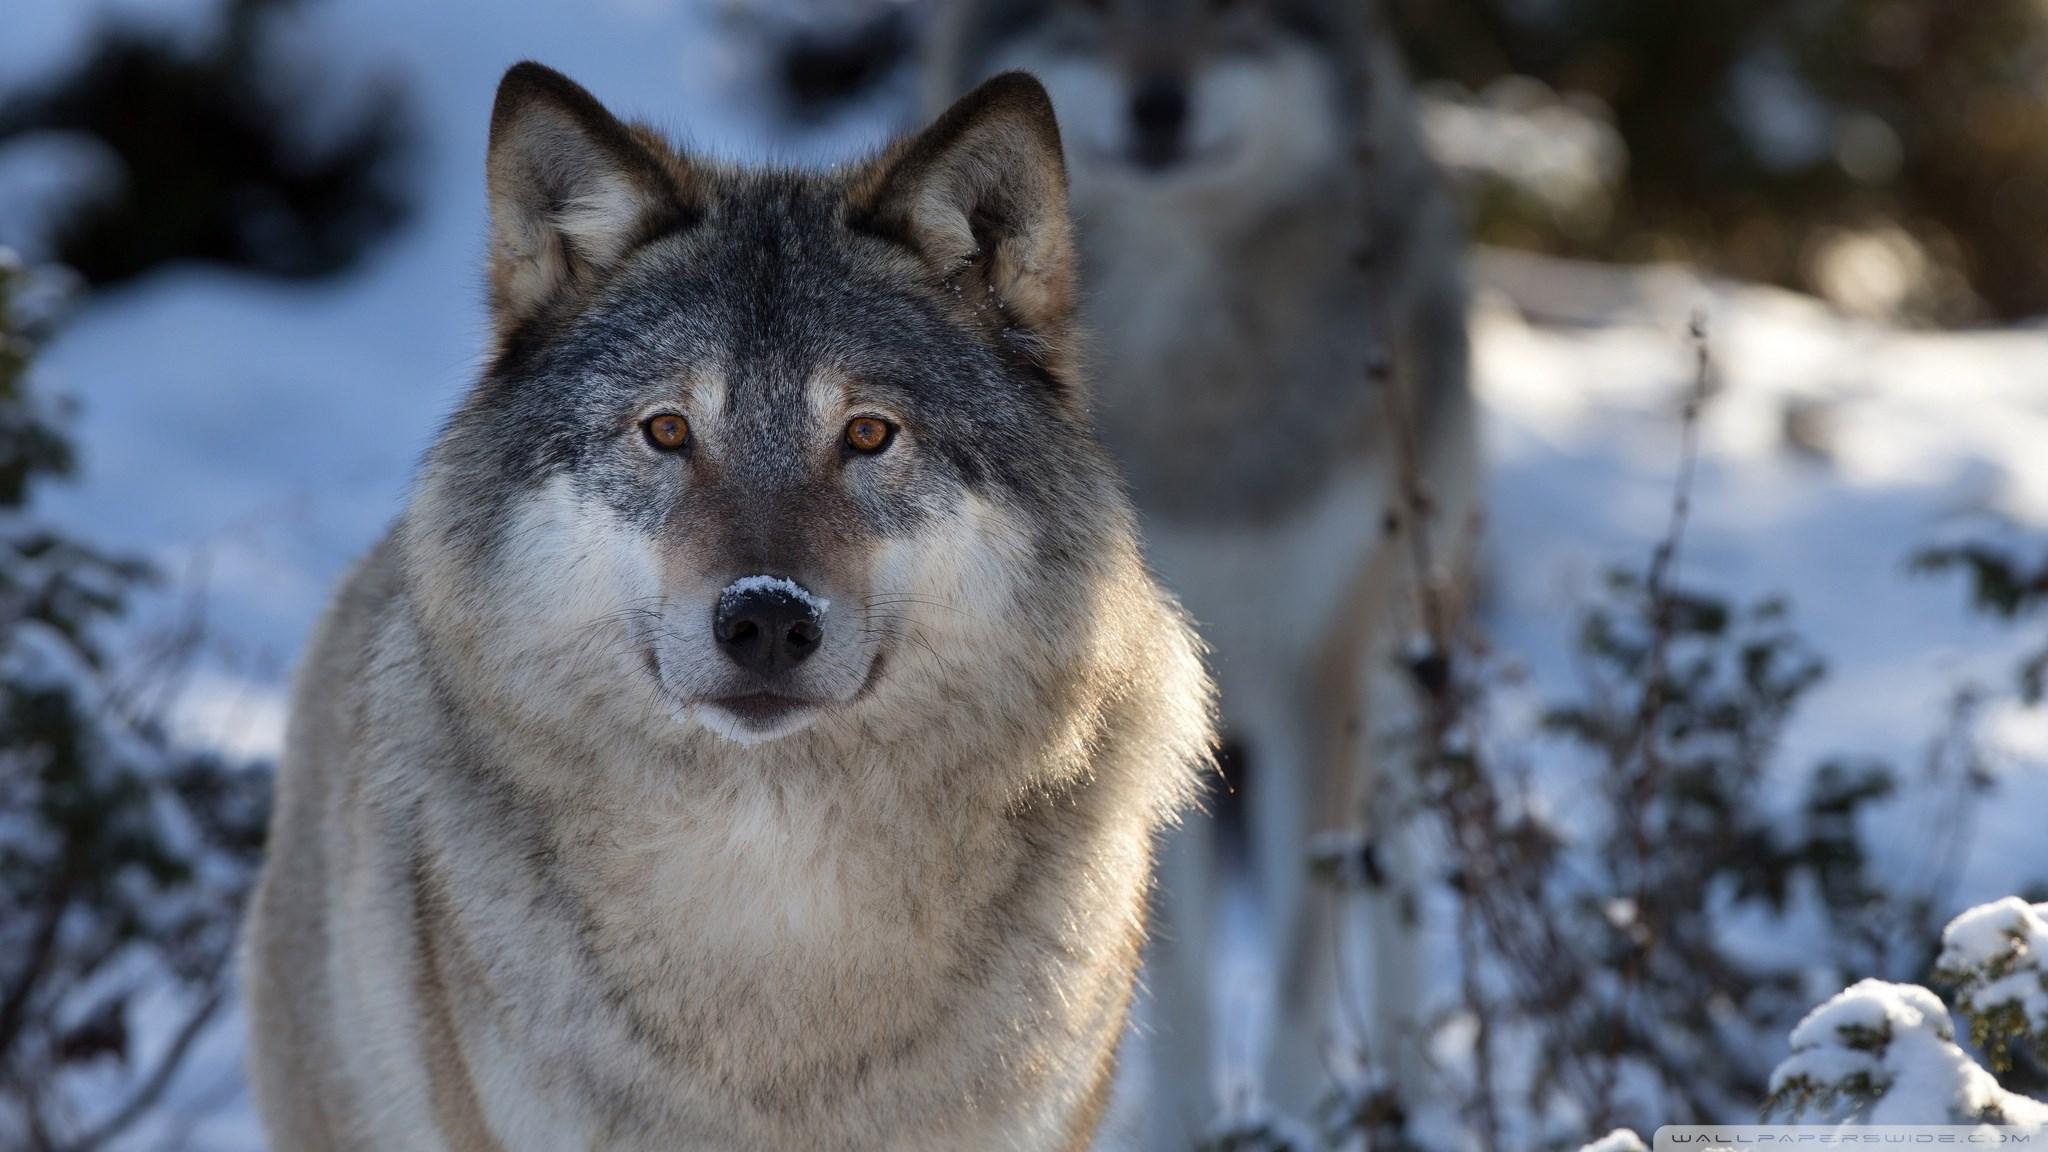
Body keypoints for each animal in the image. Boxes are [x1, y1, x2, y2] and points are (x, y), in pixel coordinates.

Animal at [929, 2, 1479, 1144]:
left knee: (1397, 886)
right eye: (1091, 17)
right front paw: (1181, 1122)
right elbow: (1166, 962)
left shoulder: (1323, 674)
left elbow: (1302, 956)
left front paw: (1291, 1117)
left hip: (1399, 676)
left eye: (1234, 16)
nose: (1158, 104)